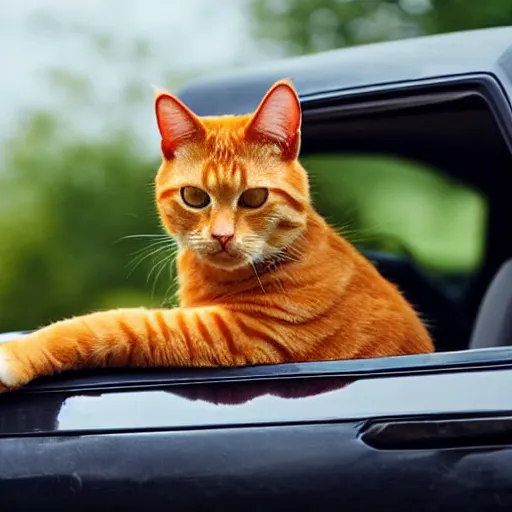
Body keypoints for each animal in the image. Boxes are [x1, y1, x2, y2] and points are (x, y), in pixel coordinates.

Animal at [0, 80, 434, 392]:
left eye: (254, 198)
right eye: (195, 197)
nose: (222, 235)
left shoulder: (238, 332)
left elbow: (110, 325)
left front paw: (14, 354)